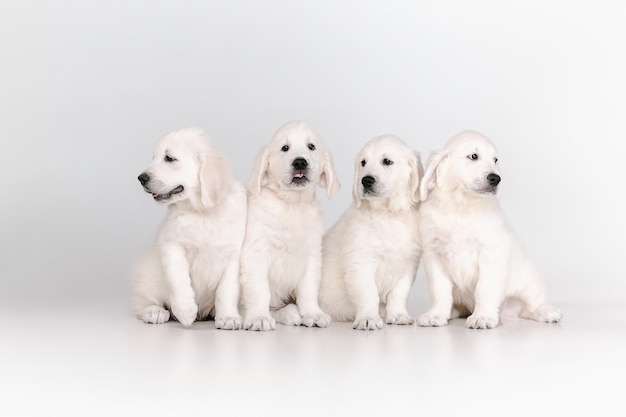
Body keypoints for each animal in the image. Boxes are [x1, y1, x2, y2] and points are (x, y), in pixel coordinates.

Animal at [130, 127, 245, 328]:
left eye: (169, 158)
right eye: (154, 157)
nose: (141, 178)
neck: (203, 213)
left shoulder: (234, 254)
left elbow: (227, 290)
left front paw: (228, 317)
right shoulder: (172, 245)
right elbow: (178, 279)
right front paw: (185, 311)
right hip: (147, 274)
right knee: (142, 301)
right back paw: (154, 311)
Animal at [239, 121, 338, 332]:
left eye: (311, 147)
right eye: (285, 148)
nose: (300, 162)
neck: (292, 205)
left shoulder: (311, 257)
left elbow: (308, 290)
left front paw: (313, 314)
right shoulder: (256, 254)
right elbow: (260, 290)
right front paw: (259, 317)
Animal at [320, 135, 422, 330]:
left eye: (387, 161)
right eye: (363, 163)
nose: (366, 180)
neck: (387, 214)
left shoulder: (408, 263)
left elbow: (399, 292)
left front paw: (398, 315)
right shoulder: (361, 261)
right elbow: (368, 293)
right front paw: (368, 318)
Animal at [414, 130, 560, 328]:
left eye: (495, 159)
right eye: (473, 156)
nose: (496, 178)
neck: (461, 207)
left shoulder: (490, 252)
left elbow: (484, 289)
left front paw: (482, 317)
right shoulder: (433, 255)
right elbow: (439, 291)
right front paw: (436, 315)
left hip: (530, 283)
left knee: (533, 305)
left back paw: (547, 312)